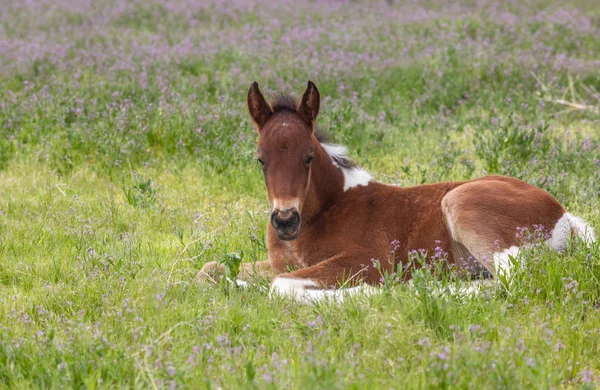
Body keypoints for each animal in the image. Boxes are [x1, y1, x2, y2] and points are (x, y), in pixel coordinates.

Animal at [198, 81, 596, 302]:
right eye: (260, 159)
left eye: (309, 156)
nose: (284, 220)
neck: (325, 211)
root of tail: (564, 216)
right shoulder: (283, 262)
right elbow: (210, 270)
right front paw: (234, 283)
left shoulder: (366, 259)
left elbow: (280, 287)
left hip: (462, 203)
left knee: (511, 279)